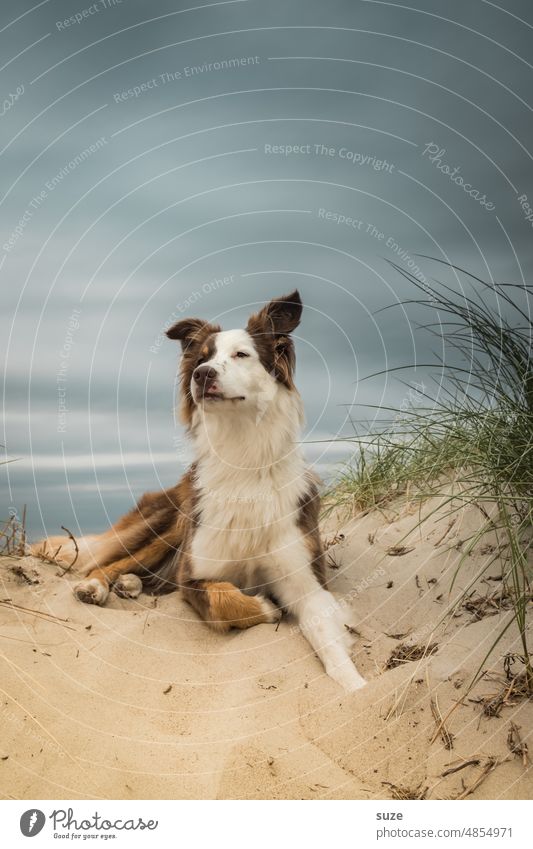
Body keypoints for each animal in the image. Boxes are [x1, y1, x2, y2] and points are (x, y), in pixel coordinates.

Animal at [33, 292, 366, 688]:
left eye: (241, 354)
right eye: (202, 357)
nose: (202, 374)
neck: (242, 459)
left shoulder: (307, 582)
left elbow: (326, 634)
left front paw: (356, 685)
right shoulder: (194, 574)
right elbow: (226, 599)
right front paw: (266, 606)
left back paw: (130, 585)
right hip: (170, 524)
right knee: (108, 563)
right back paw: (98, 586)